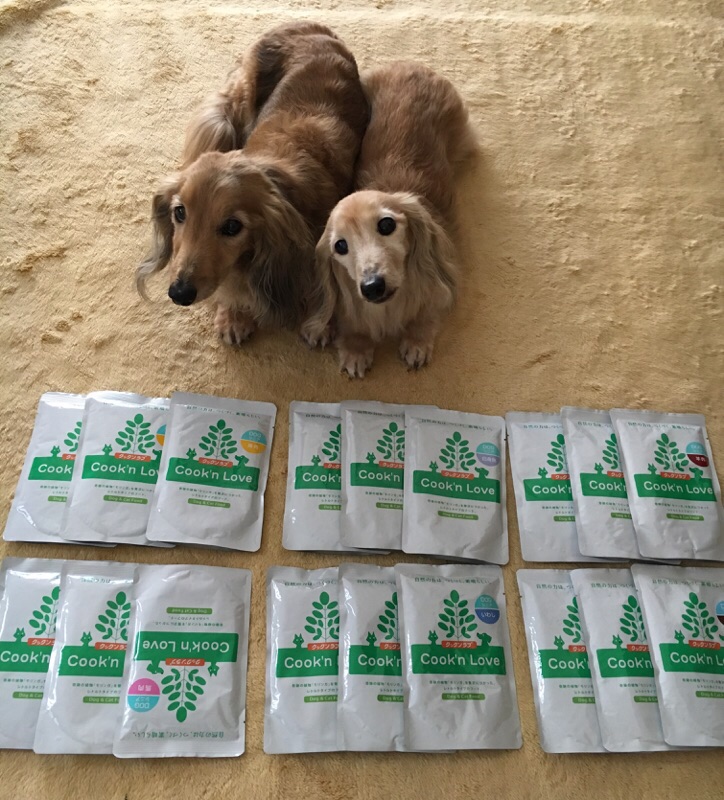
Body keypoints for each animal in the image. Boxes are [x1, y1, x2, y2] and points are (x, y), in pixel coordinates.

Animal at [136, 22, 368, 345]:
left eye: (232, 227)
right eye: (179, 212)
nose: (179, 293)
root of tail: (308, 25)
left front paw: (322, 323)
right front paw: (233, 315)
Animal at [303, 62, 475, 377]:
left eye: (386, 224)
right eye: (340, 246)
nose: (372, 287)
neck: (389, 306)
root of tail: (411, 66)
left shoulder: (443, 276)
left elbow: (427, 312)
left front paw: (417, 341)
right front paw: (353, 345)